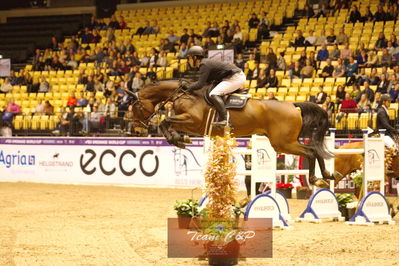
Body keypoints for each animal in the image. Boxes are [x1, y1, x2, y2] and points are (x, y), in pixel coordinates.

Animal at [133, 80, 336, 185]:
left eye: (137, 107)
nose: (138, 127)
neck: (185, 96)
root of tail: (293, 105)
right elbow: (167, 124)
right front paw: (179, 138)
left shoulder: (193, 121)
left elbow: (165, 122)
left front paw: (178, 139)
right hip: (286, 142)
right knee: (315, 150)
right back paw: (327, 175)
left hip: (283, 143)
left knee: (310, 152)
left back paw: (316, 178)